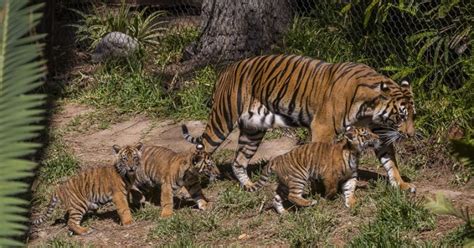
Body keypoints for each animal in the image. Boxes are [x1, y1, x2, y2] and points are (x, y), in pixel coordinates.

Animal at [181, 54, 414, 192]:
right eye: (401, 116)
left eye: (413, 115)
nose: (411, 134)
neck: (369, 108)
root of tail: (225, 71)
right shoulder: (323, 128)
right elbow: (320, 156)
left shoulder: (379, 134)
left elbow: (390, 161)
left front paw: (402, 184)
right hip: (221, 121)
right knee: (200, 150)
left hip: (253, 131)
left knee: (238, 161)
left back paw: (249, 186)